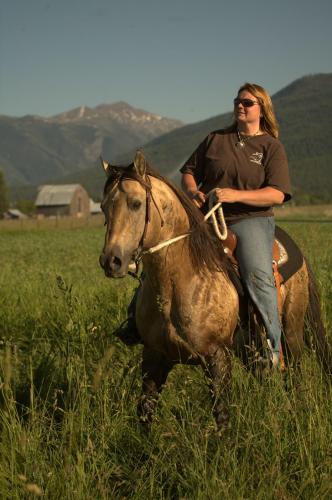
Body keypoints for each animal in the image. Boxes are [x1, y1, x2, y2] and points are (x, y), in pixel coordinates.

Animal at [98, 149, 330, 430]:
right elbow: (145, 411)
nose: (111, 261)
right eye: (103, 206)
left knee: (295, 374)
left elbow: (222, 417)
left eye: (135, 203)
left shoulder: (216, 357)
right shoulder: (154, 356)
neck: (178, 283)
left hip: (292, 331)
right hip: (249, 348)